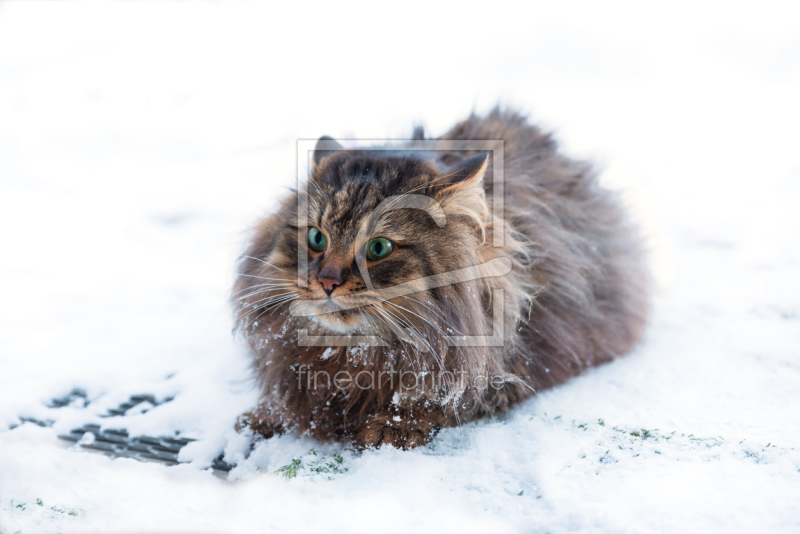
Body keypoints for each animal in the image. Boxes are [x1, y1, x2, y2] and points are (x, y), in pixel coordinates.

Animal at [231, 109, 648, 452]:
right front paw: (265, 418)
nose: (327, 282)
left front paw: (391, 426)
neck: (350, 351)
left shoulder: (514, 368)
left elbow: (442, 400)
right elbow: (286, 403)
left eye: (379, 247)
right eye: (317, 239)